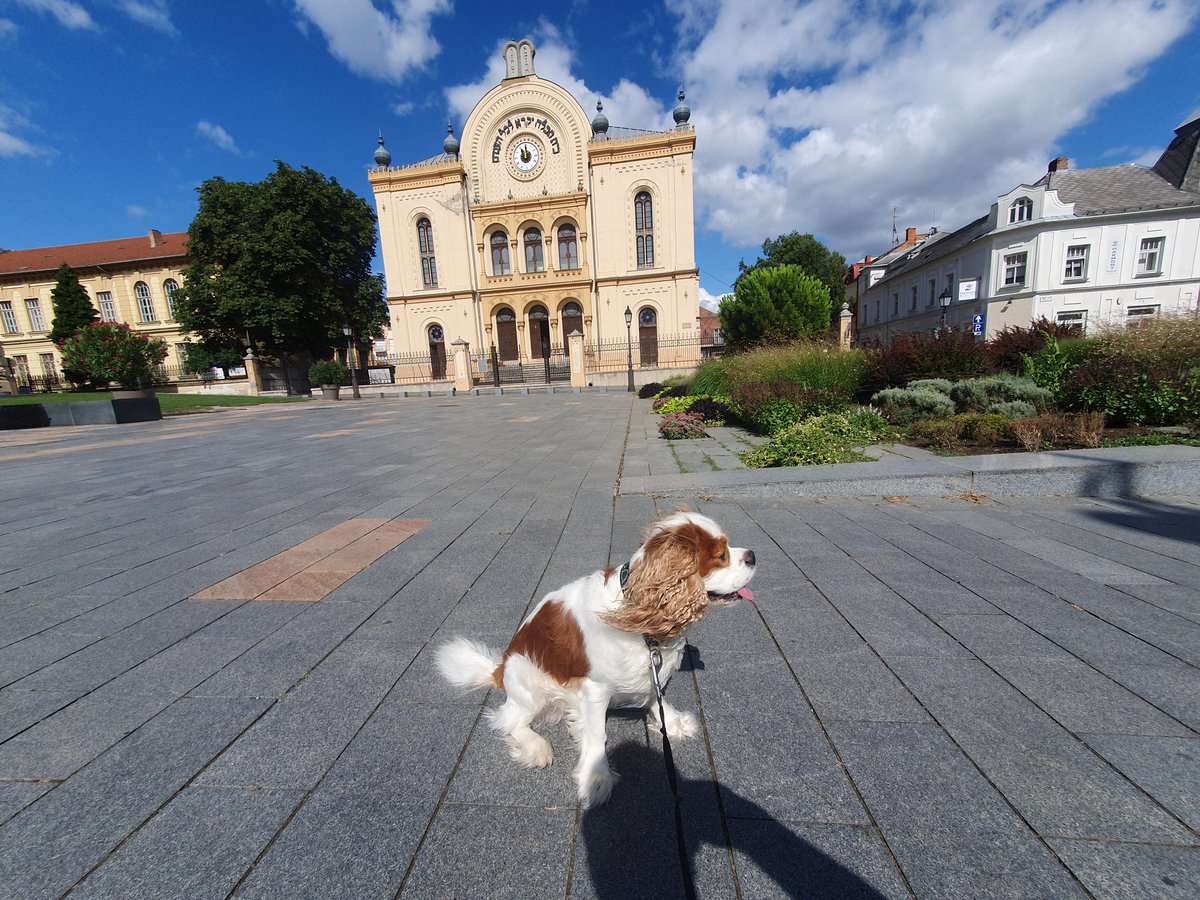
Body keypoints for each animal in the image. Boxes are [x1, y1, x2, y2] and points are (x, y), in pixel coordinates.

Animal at [434, 513, 748, 811]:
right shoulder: (596, 689)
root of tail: (500, 669)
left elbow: (655, 696)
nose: (753, 555)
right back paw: (537, 747)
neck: (638, 612)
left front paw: (671, 722)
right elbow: (598, 736)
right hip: (531, 682)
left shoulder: (647, 669)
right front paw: (596, 778)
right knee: (509, 720)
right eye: (722, 556)